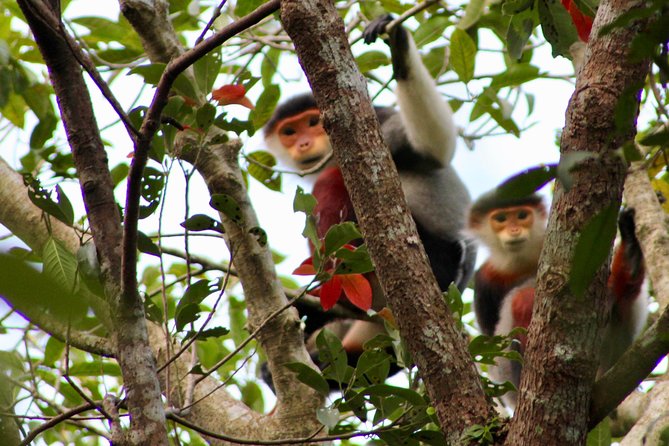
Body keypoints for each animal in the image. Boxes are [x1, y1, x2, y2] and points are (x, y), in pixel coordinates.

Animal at [262, 15, 476, 385]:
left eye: (312, 123)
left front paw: (400, 47)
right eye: (290, 132)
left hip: (437, 261)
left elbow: (432, 151)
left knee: (332, 182)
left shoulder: (378, 122)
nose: (303, 144)